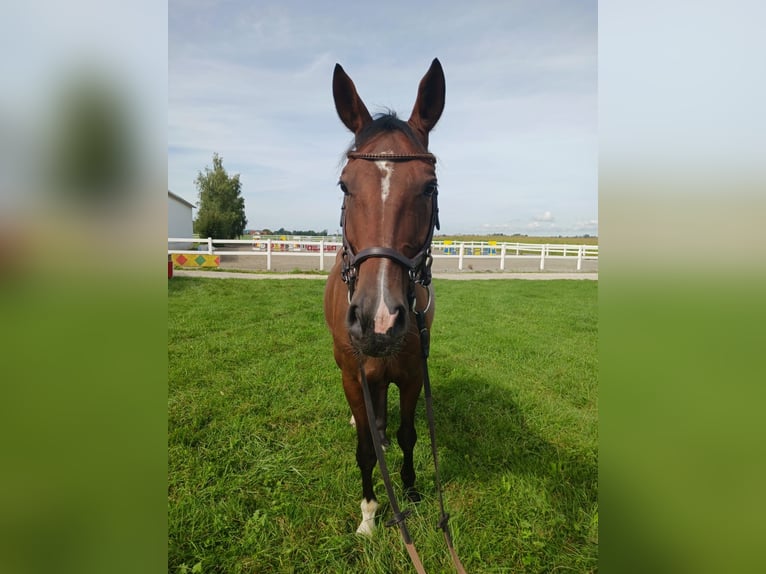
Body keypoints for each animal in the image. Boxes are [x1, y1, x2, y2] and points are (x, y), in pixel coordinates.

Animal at [322, 59, 444, 540]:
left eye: (429, 187)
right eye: (343, 186)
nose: (378, 320)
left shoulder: (411, 375)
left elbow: (410, 433)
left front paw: (410, 492)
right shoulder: (354, 377)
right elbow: (364, 448)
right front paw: (370, 513)